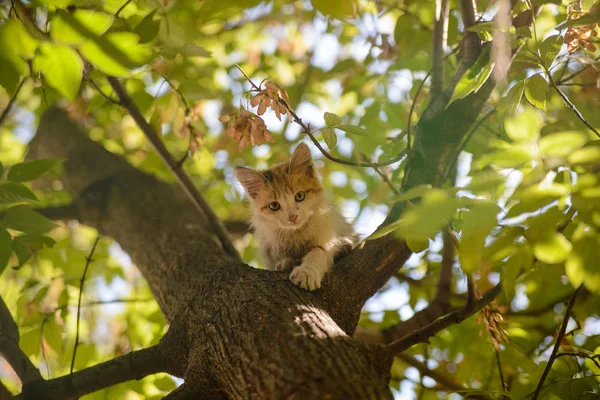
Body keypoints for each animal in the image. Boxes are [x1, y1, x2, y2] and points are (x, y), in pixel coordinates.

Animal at [234, 144, 356, 290]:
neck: (296, 234)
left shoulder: (326, 237)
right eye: (274, 205)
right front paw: (286, 263)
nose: (292, 217)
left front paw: (307, 272)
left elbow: (318, 252)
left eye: (299, 196)